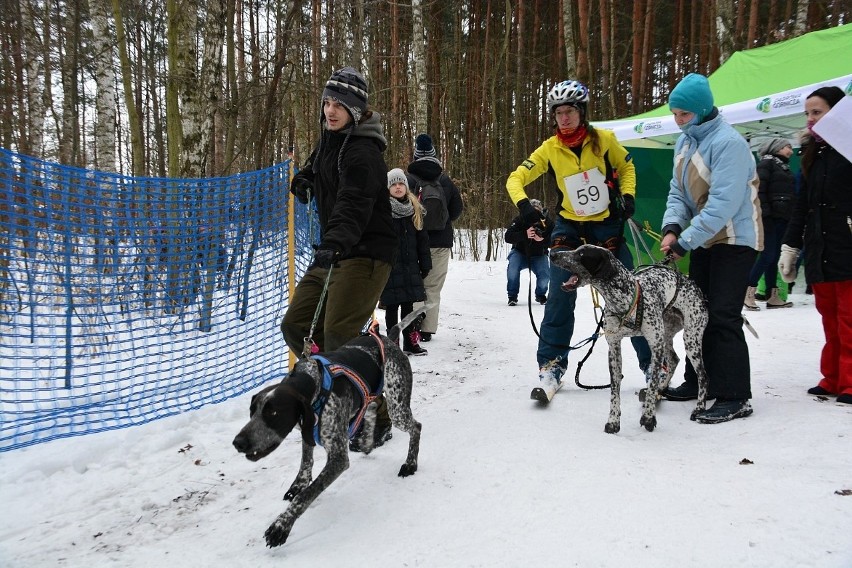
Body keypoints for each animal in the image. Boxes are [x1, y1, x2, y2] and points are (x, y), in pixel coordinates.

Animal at [548, 242, 708, 432]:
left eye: (581, 254)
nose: (552, 255)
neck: (625, 299)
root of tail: (691, 282)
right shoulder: (614, 348)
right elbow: (615, 390)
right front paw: (613, 420)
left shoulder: (655, 346)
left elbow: (652, 383)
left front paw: (648, 417)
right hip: (667, 336)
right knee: (674, 360)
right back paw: (662, 389)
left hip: (690, 339)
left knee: (703, 376)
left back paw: (699, 409)